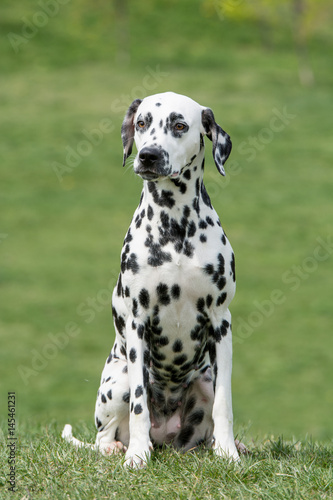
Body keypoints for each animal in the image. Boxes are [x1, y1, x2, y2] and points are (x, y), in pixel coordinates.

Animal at [63, 91, 241, 468]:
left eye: (180, 125)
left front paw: (228, 452)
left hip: (204, 379)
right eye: (142, 123)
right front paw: (137, 455)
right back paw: (120, 447)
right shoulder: (138, 322)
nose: (148, 155)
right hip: (117, 380)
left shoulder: (221, 321)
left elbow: (225, 403)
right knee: (106, 432)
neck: (175, 226)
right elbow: (140, 405)